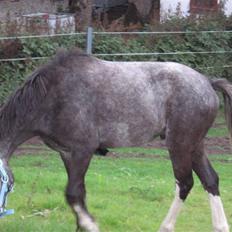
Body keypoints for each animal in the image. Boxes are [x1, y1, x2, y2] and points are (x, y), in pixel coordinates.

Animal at [0, 49, 230, 231]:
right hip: (195, 145)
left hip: (179, 145)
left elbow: (73, 194)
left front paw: (91, 225)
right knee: (210, 180)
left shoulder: (82, 151)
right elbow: (79, 194)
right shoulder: (67, 154)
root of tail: (208, 82)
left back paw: (165, 226)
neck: (53, 96)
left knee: (184, 183)